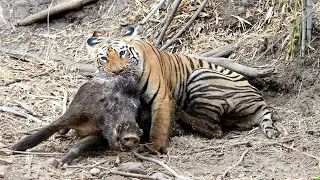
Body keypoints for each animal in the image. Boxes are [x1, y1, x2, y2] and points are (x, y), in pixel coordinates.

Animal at [86, 27, 278, 153]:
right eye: (104, 58)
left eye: (122, 53)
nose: (117, 71)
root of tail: (261, 101)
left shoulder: (161, 97)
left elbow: (159, 124)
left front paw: (154, 147)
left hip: (199, 75)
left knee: (214, 128)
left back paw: (179, 113)